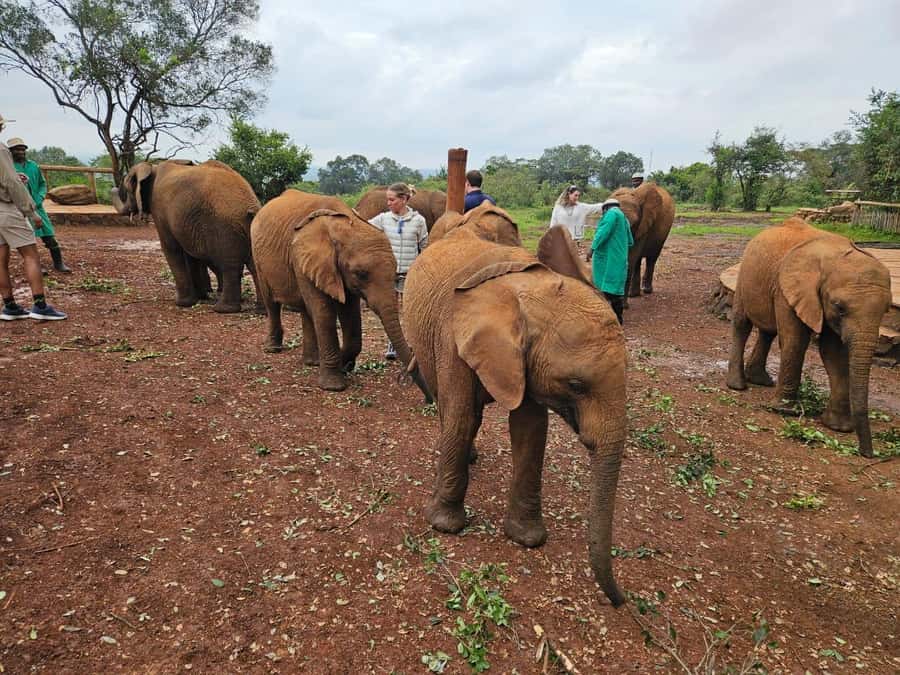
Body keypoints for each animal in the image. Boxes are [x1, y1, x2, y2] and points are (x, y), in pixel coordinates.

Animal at [111, 159, 260, 313]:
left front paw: (182, 303)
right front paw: (200, 298)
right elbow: (191, 255)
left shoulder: (159, 210)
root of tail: (252, 206)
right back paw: (260, 309)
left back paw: (223, 309)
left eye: (127, 189)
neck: (152, 167)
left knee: (229, 265)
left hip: (225, 227)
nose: (114, 188)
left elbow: (171, 248)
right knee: (254, 265)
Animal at [251, 189, 430, 397]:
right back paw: (273, 349)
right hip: (257, 254)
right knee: (272, 302)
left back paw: (312, 362)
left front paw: (344, 365)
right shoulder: (304, 257)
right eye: (361, 274)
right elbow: (325, 313)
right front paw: (334, 385)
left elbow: (350, 315)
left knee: (306, 309)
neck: (343, 227)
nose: (429, 399)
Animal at [403, 226, 628, 607]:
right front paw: (444, 526)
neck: (527, 294)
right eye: (576, 385)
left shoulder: (528, 362)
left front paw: (527, 539)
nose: (620, 601)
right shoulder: (452, 335)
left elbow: (530, 430)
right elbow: (461, 416)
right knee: (450, 408)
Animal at [726, 217, 891, 458]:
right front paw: (784, 410)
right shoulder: (789, 289)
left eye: (886, 310)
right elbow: (795, 340)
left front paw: (838, 427)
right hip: (745, 274)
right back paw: (738, 386)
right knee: (742, 324)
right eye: (839, 307)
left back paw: (761, 381)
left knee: (768, 332)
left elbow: (833, 352)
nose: (867, 454)